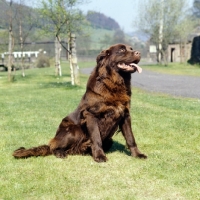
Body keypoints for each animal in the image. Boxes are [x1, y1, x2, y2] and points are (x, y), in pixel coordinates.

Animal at [12, 43, 147, 162]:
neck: (114, 83)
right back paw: (61, 153)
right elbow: (96, 138)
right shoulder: (91, 115)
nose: (139, 53)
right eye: (122, 50)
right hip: (74, 131)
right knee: (53, 147)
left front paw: (137, 154)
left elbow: (130, 138)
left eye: (131, 49)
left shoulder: (125, 115)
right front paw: (99, 156)